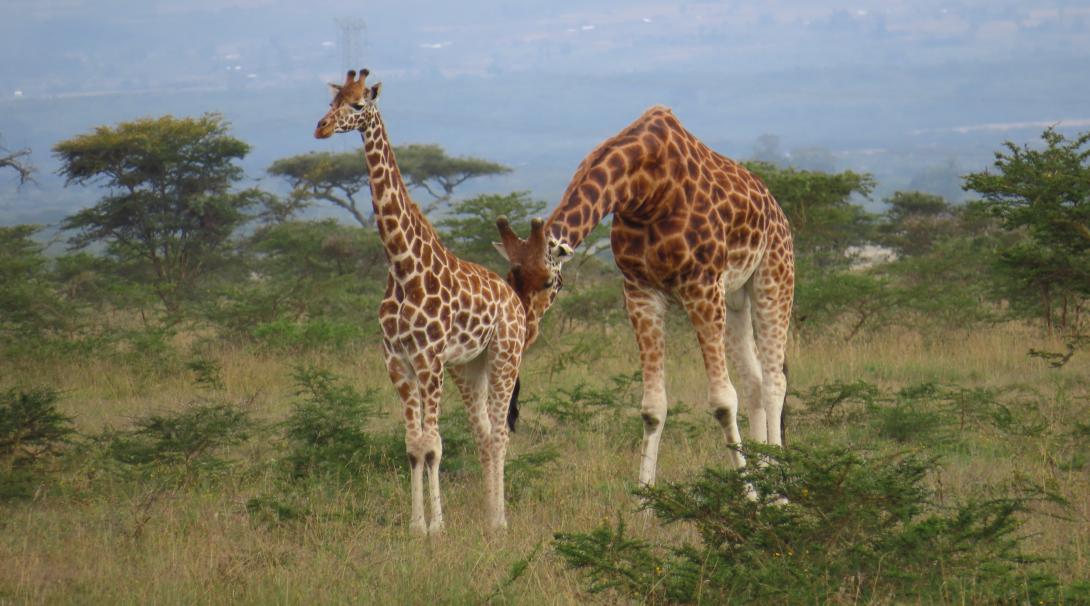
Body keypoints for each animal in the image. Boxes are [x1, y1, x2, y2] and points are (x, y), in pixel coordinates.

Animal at [313, 69, 525, 534]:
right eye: (332, 99)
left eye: (358, 104)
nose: (320, 127)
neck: (403, 267)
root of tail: (514, 298)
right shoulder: (397, 360)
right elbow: (414, 445)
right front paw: (415, 526)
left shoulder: (429, 360)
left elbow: (433, 444)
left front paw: (437, 527)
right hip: (471, 364)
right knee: (485, 433)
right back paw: (488, 516)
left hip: (506, 354)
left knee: (500, 433)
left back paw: (501, 523)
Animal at [497, 105, 793, 488]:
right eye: (509, 279)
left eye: (550, 283)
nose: (525, 331)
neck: (644, 190)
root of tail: (776, 209)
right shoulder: (640, 291)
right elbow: (652, 408)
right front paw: (646, 498)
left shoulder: (701, 286)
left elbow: (723, 401)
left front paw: (751, 496)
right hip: (735, 296)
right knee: (754, 380)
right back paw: (765, 474)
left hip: (773, 277)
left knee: (774, 380)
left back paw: (778, 491)